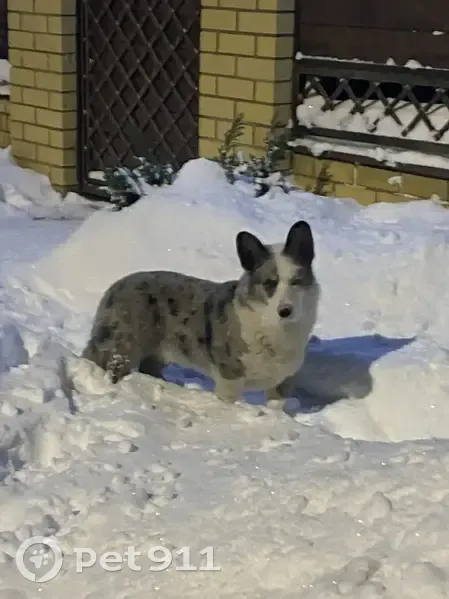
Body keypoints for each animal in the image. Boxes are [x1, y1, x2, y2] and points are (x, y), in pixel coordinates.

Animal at [81, 220, 320, 404]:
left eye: (296, 281)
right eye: (270, 283)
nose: (285, 311)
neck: (275, 330)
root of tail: (114, 288)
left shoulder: (282, 384)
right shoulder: (230, 380)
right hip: (123, 348)